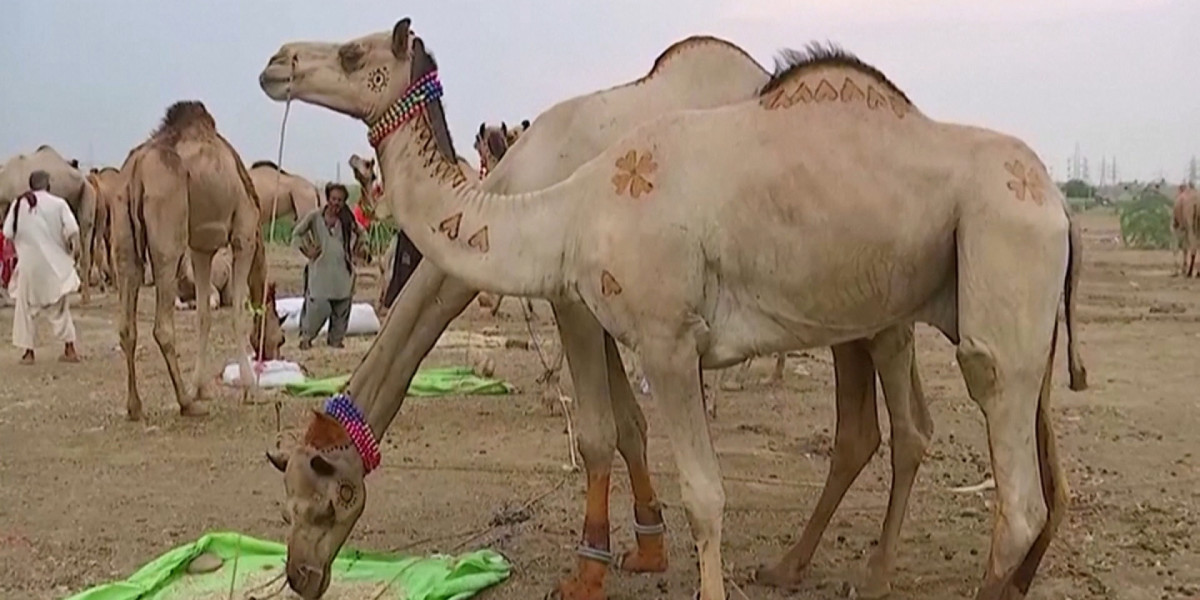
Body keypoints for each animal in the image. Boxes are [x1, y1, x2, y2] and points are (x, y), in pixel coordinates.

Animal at [112, 100, 290, 420]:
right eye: (280, 338)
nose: (273, 358)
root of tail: (136, 170)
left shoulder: (200, 249)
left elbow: (203, 315)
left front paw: (202, 388)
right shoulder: (244, 235)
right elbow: (237, 314)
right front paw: (251, 390)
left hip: (123, 233)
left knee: (127, 324)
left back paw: (135, 407)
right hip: (168, 231)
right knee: (162, 326)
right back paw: (186, 403)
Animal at [262, 19, 1089, 600]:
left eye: (331, 496)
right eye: (289, 498)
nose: (276, 63)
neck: (562, 205)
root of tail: (1056, 201)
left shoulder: (662, 338)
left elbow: (695, 487)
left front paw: (603, 566)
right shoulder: (616, 321)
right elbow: (642, 443)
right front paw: (637, 550)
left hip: (994, 262)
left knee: (1003, 475)